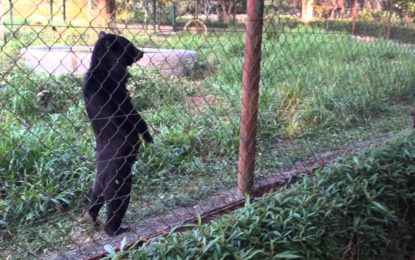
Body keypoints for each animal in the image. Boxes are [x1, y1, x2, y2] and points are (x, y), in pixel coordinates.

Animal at [81, 31, 153, 237]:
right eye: (130, 45)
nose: (142, 52)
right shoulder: (116, 88)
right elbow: (132, 114)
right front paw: (149, 137)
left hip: (99, 179)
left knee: (96, 194)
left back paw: (90, 217)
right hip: (118, 175)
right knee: (117, 200)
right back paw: (115, 229)